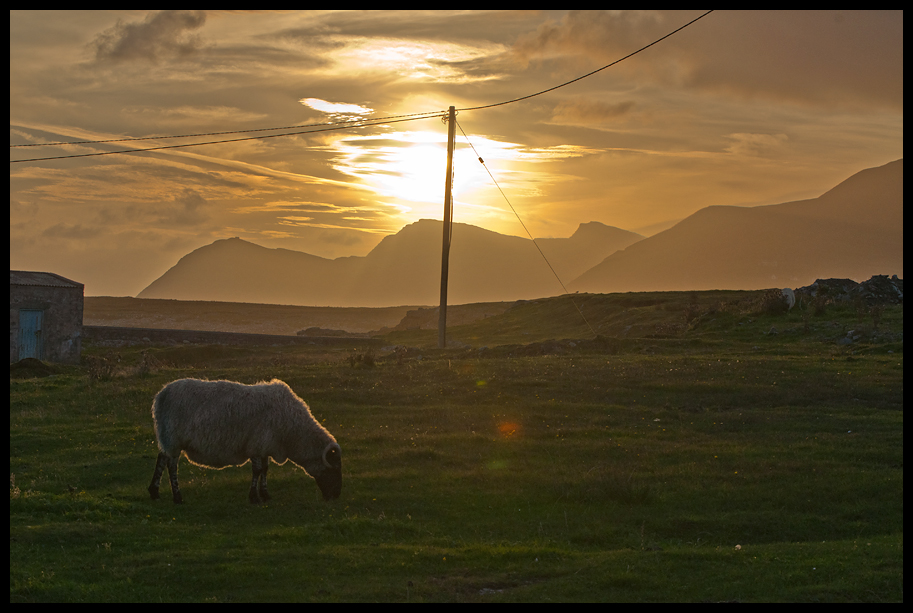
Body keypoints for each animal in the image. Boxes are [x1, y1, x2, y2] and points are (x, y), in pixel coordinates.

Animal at [148, 378, 340, 502]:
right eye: (333, 468)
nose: (335, 496)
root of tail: (161, 394)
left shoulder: (265, 445)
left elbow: (265, 469)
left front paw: (265, 494)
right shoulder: (256, 444)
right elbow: (257, 470)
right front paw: (254, 497)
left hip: (167, 437)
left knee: (161, 459)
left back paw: (154, 492)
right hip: (173, 438)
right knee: (172, 466)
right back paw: (177, 496)